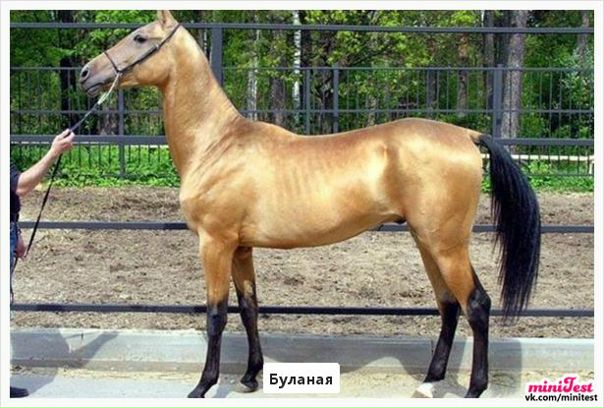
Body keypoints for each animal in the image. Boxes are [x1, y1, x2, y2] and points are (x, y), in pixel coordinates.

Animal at [80, 11, 540, 398]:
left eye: (140, 37)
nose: (86, 73)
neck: (217, 144)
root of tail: (466, 134)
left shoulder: (214, 243)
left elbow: (216, 315)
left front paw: (203, 386)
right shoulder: (240, 248)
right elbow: (249, 308)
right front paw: (250, 376)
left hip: (446, 245)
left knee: (476, 304)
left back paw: (474, 388)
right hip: (427, 241)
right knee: (448, 305)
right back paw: (429, 383)